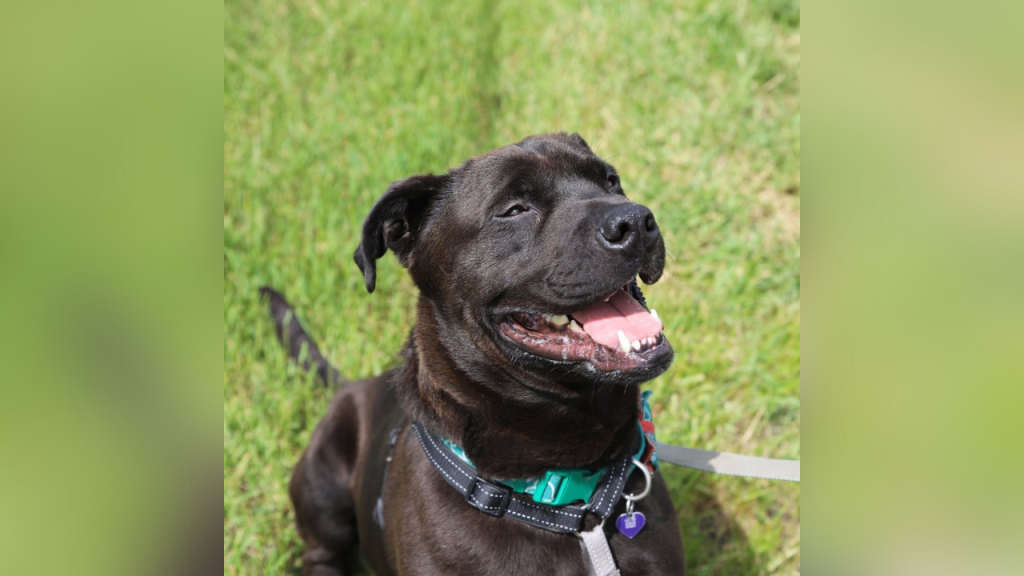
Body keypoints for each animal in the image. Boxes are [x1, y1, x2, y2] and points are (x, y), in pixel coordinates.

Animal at [262, 132, 688, 569]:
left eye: (611, 181)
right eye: (514, 210)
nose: (635, 221)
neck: (568, 502)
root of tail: (352, 384)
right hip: (323, 492)